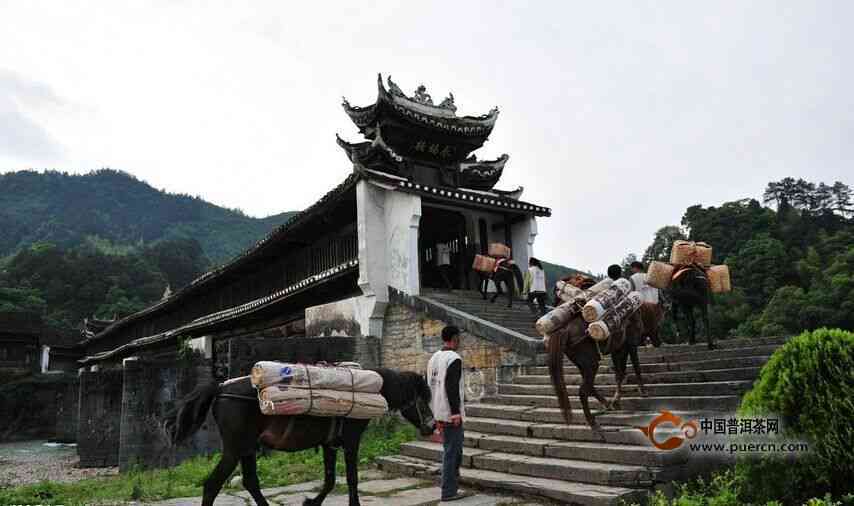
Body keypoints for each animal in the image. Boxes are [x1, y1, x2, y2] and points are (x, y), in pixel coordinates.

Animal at [163, 368, 434, 506]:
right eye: (422, 399)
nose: (431, 427)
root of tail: (220, 388)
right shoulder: (351, 442)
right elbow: (352, 479)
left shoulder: (329, 444)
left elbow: (330, 479)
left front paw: (311, 502)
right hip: (234, 448)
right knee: (212, 485)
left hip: (247, 447)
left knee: (250, 482)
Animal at [548, 300, 668, 430]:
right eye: (660, 323)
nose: (659, 342)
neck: (637, 312)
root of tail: (565, 330)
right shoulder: (631, 345)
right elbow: (636, 367)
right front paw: (643, 392)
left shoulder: (619, 349)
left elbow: (619, 373)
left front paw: (616, 400)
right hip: (591, 365)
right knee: (583, 391)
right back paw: (593, 423)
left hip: (583, 365)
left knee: (590, 387)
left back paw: (607, 405)